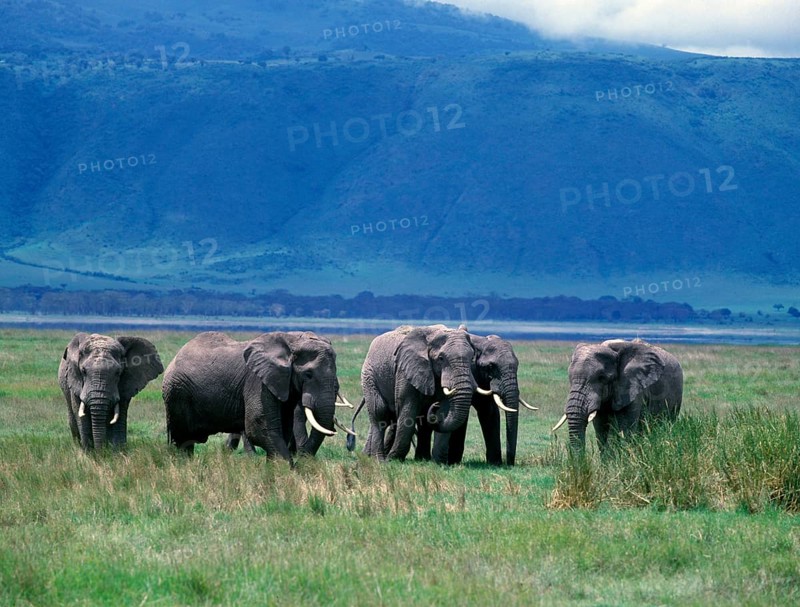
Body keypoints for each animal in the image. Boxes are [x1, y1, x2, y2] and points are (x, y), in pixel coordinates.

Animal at [162, 331, 350, 462]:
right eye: (308, 374)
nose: (304, 461)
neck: (291, 341)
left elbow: (282, 428)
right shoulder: (257, 382)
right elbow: (259, 427)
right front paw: (287, 473)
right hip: (176, 393)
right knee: (180, 438)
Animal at [348, 324, 478, 462]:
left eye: (472, 358)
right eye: (441, 358)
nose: (434, 405)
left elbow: (445, 410)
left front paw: (438, 462)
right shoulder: (405, 370)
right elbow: (408, 407)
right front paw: (394, 459)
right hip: (369, 376)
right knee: (380, 413)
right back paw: (379, 459)